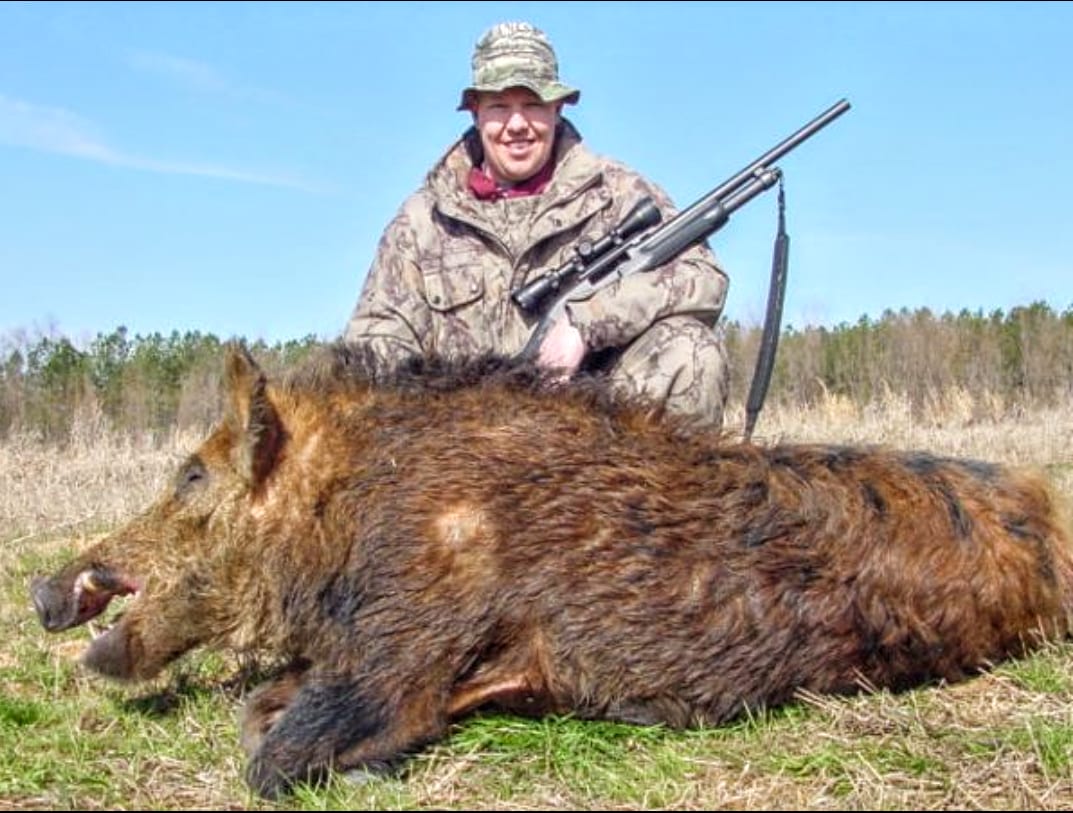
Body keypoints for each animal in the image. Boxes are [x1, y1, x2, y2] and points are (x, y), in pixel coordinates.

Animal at [30, 342, 1073, 799]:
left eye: (190, 473)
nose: (44, 587)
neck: (348, 515)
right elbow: (261, 708)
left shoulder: (404, 646)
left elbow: (274, 752)